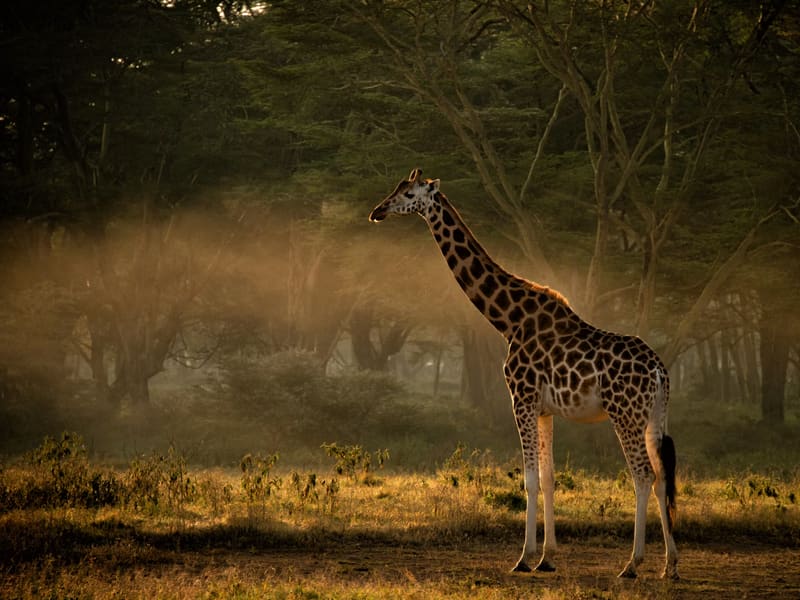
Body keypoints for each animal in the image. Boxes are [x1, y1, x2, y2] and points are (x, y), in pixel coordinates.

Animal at [368, 169, 678, 580]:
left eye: (408, 193)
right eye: (395, 188)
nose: (377, 211)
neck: (509, 320)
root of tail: (660, 371)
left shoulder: (521, 398)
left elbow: (529, 479)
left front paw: (523, 558)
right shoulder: (545, 409)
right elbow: (548, 478)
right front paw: (547, 557)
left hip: (624, 414)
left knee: (643, 475)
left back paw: (632, 564)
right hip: (653, 416)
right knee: (662, 477)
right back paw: (670, 565)